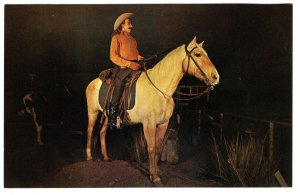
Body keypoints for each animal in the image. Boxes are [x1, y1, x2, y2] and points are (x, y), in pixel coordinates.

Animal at [85, 37, 219, 186]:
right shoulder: (149, 125)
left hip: (107, 114)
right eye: (198, 54)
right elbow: (151, 149)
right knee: (90, 131)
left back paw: (106, 157)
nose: (216, 77)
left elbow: (158, 148)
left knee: (102, 132)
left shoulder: (163, 124)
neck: (160, 90)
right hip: (92, 112)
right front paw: (154, 177)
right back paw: (89, 157)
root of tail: (93, 82)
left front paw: (156, 172)